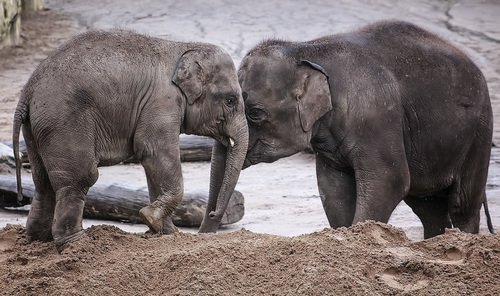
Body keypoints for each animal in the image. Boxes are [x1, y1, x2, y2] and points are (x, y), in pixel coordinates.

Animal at [14, 31, 250, 251]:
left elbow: (152, 163)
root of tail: (28, 91)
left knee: (43, 181)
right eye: (230, 100)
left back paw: (39, 238)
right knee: (80, 178)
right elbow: (153, 150)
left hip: (36, 129)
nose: (212, 214)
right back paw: (78, 244)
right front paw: (150, 217)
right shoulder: (162, 102)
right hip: (64, 123)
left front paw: (165, 232)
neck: (183, 47)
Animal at [239, 20, 496, 238]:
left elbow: (390, 179)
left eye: (255, 113)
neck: (306, 49)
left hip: (479, 133)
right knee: (428, 206)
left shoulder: (377, 117)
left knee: (462, 204)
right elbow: (333, 188)